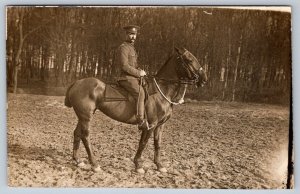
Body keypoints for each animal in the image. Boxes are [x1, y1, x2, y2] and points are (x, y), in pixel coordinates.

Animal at [64, 46, 207, 173]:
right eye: (189, 60)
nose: (204, 79)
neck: (161, 91)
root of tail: (77, 82)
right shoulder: (151, 124)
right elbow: (143, 143)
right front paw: (138, 165)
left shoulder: (160, 125)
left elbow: (157, 144)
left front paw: (159, 166)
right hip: (86, 117)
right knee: (85, 136)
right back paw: (94, 164)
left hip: (83, 116)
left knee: (77, 133)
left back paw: (78, 161)